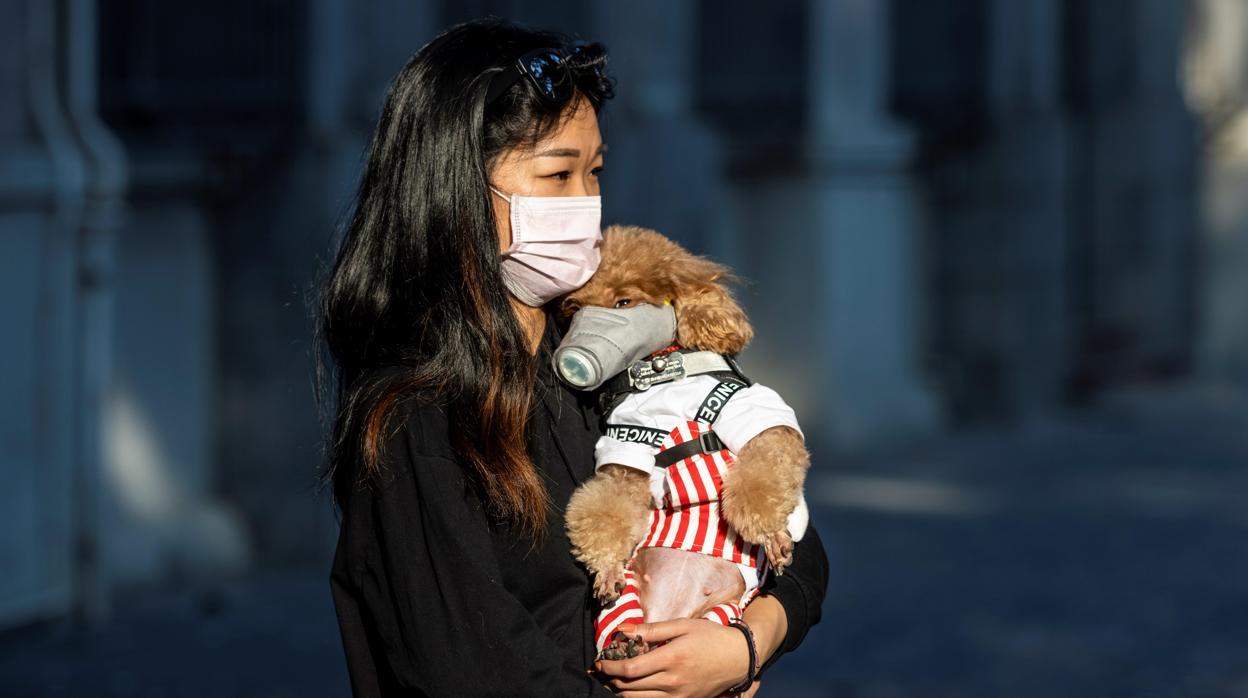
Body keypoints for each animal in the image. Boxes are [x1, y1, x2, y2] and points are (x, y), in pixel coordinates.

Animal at [561, 223, 813, 659]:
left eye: (624, 301)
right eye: (574, 308)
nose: (579, 355)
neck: (661, 372)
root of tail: (669, 612)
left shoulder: (752, 413)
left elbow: (760, 483)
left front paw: (770, 535)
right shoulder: (627, 448)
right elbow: (608, 507)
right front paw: (605, 566)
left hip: (720, 614)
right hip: (626, 603)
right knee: (623, 623)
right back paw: (624, 647)